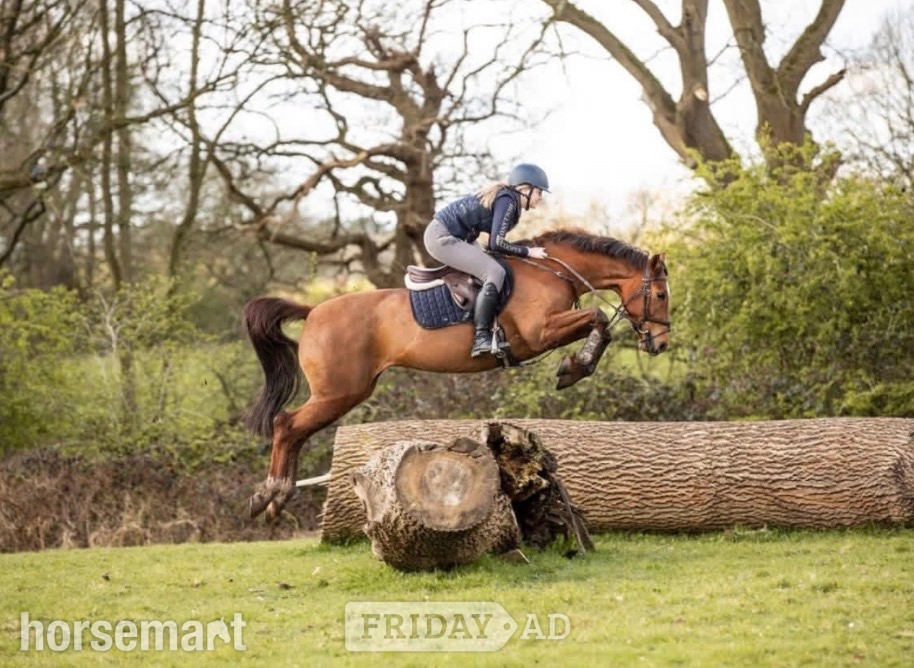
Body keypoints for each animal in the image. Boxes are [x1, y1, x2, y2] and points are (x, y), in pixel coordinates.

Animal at [242, 228, 671, 520]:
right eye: (661, 294)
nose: (661, 344)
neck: (552, 271)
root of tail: (313, 310)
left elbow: (600, 325)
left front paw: (574, 368)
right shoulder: (540, 333)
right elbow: (598, 318)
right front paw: (574, 367)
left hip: (340, 393)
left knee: (295, 432)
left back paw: (277, 499)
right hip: (339, 392)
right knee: (286, 425)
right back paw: (268, 495)